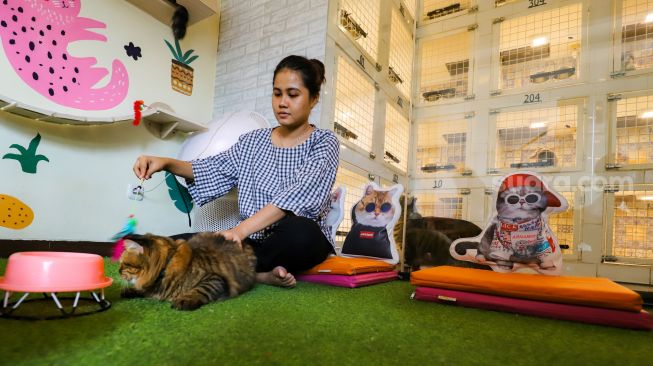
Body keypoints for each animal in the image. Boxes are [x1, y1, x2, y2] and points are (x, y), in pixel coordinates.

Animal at [118, 233, 256, 310]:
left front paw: (184, 300)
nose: (118, 271)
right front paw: (130, 290)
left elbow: (200, 289)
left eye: (124, 264)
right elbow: (141, 289)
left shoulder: (214, 278)